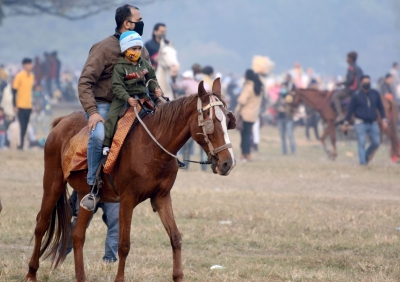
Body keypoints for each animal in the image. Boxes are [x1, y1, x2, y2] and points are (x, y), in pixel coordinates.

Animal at [25, 78, 236, 282]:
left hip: (85, 195)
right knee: (41, 223)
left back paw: (80, 277)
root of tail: (61, 123)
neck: (153, 146)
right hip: (53, 184)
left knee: (77, 235)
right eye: (210, 121)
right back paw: (31, 272)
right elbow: (124, 244)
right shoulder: (127, 199)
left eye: (227, 121)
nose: (227, 162)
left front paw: (178, 276)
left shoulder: (162, 197)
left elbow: (176, 237)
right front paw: (119, 278)